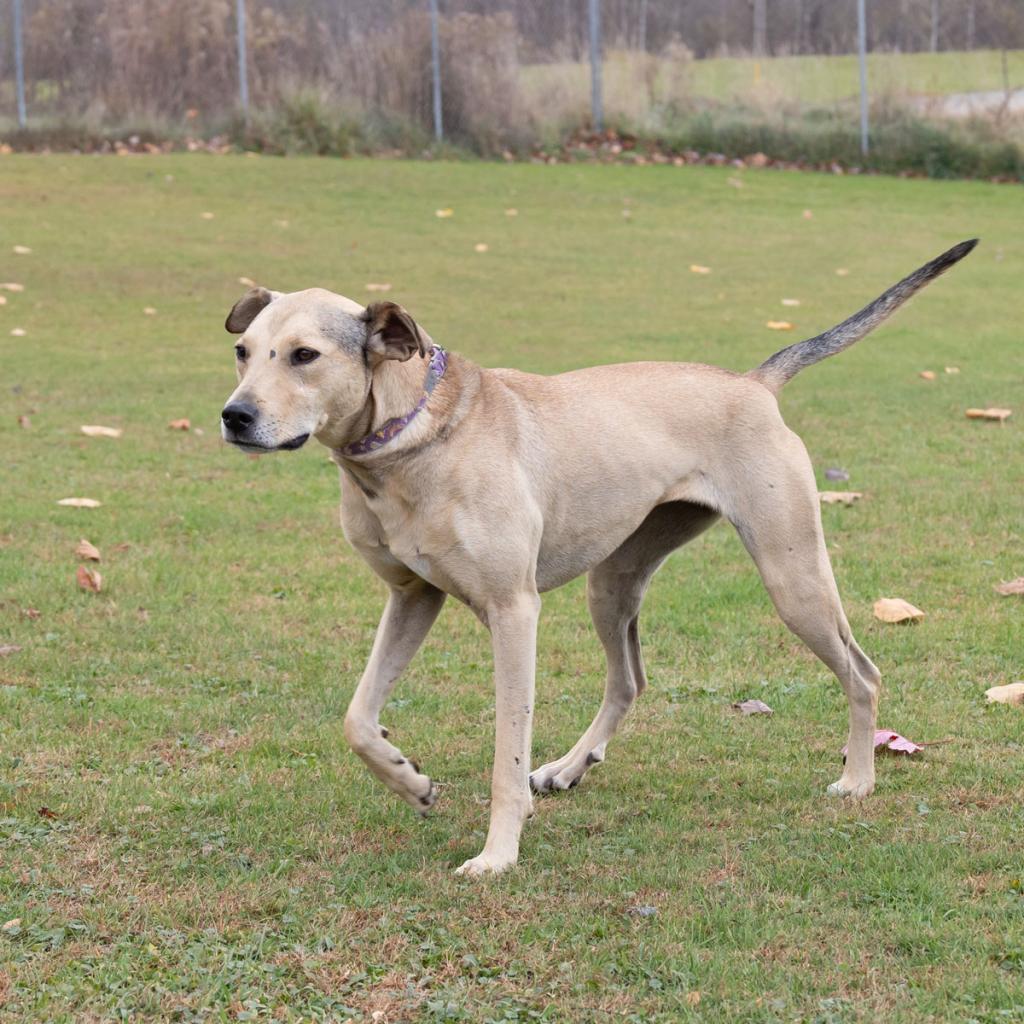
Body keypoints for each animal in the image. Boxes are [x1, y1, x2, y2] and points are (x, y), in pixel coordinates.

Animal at [222, 237, 974, 872]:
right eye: (244, 352)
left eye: (305, 355)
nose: (234, 416)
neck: (415, 438)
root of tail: (753, 383)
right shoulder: (412, 599)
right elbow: (357, 719)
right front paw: (412, 782)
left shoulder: (513, 613)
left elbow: (504, 752)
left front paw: (497, 855)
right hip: (613, 581)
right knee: (629, 680)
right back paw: (567, 767)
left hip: (793, 578)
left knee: (863, 672)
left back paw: (858, 778)